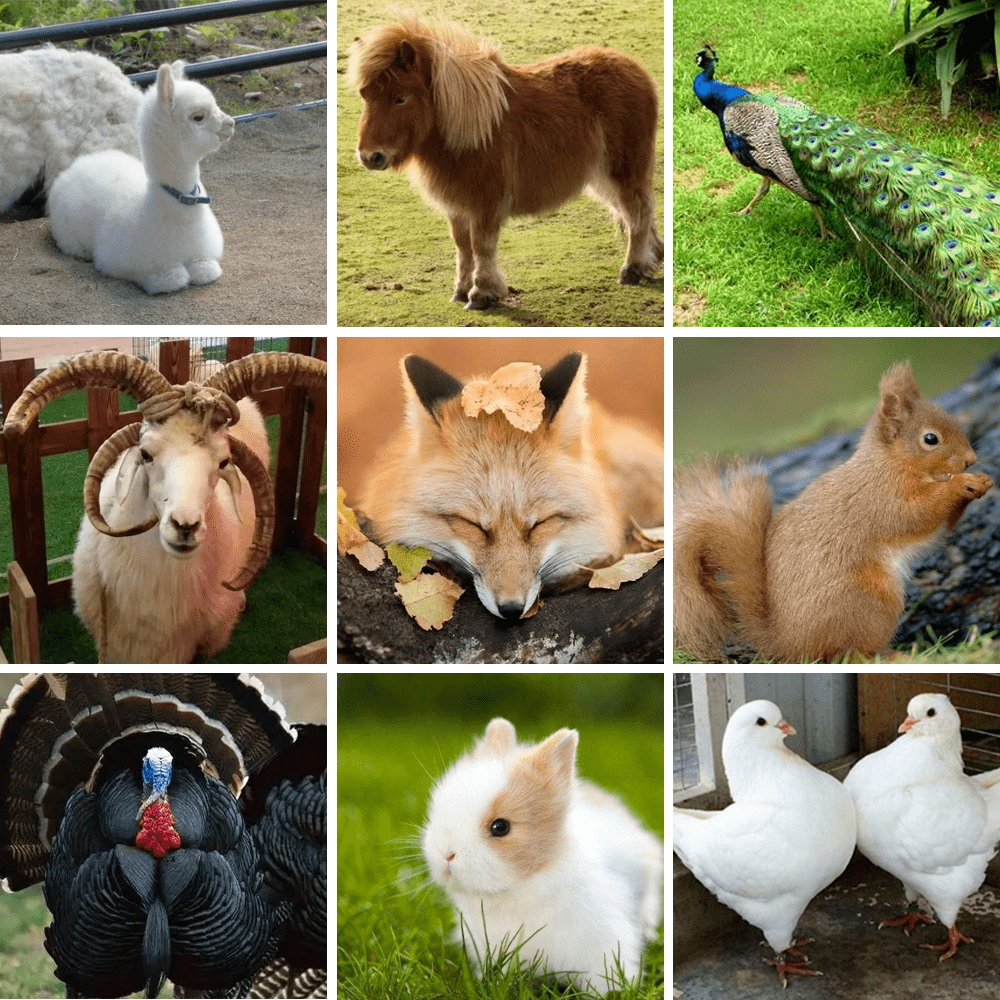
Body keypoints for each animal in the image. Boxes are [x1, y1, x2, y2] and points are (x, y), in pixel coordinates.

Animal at [49, 60, 235, 292]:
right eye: (198, 117)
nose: (231, 123)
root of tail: (80, 163)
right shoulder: (122, 260)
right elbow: (172, 277)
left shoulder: (204, 252)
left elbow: (206, 269)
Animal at [348, 18, 660, 308]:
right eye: (365, 95)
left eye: (400, 98)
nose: (369, 156)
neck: (470, 128)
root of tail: (637, 70)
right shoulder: (458, 205)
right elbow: (462, 246)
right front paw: (461, 290)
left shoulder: (485, 202)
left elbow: (481, 246)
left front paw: (482, 293)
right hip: (602, 176)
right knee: (631, 212)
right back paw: (653, 258)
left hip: (623, 171)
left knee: (638, 212)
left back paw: (633, 269)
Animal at [672, 362, 992, 664]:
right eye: (930, 439)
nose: (970, 460)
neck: (891, 464)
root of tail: (789, 643)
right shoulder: (883, 500)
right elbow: (919, 514)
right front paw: (961, 484)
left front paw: (982, 482)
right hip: (869, 599)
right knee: (845, 652)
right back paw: (895, 655)